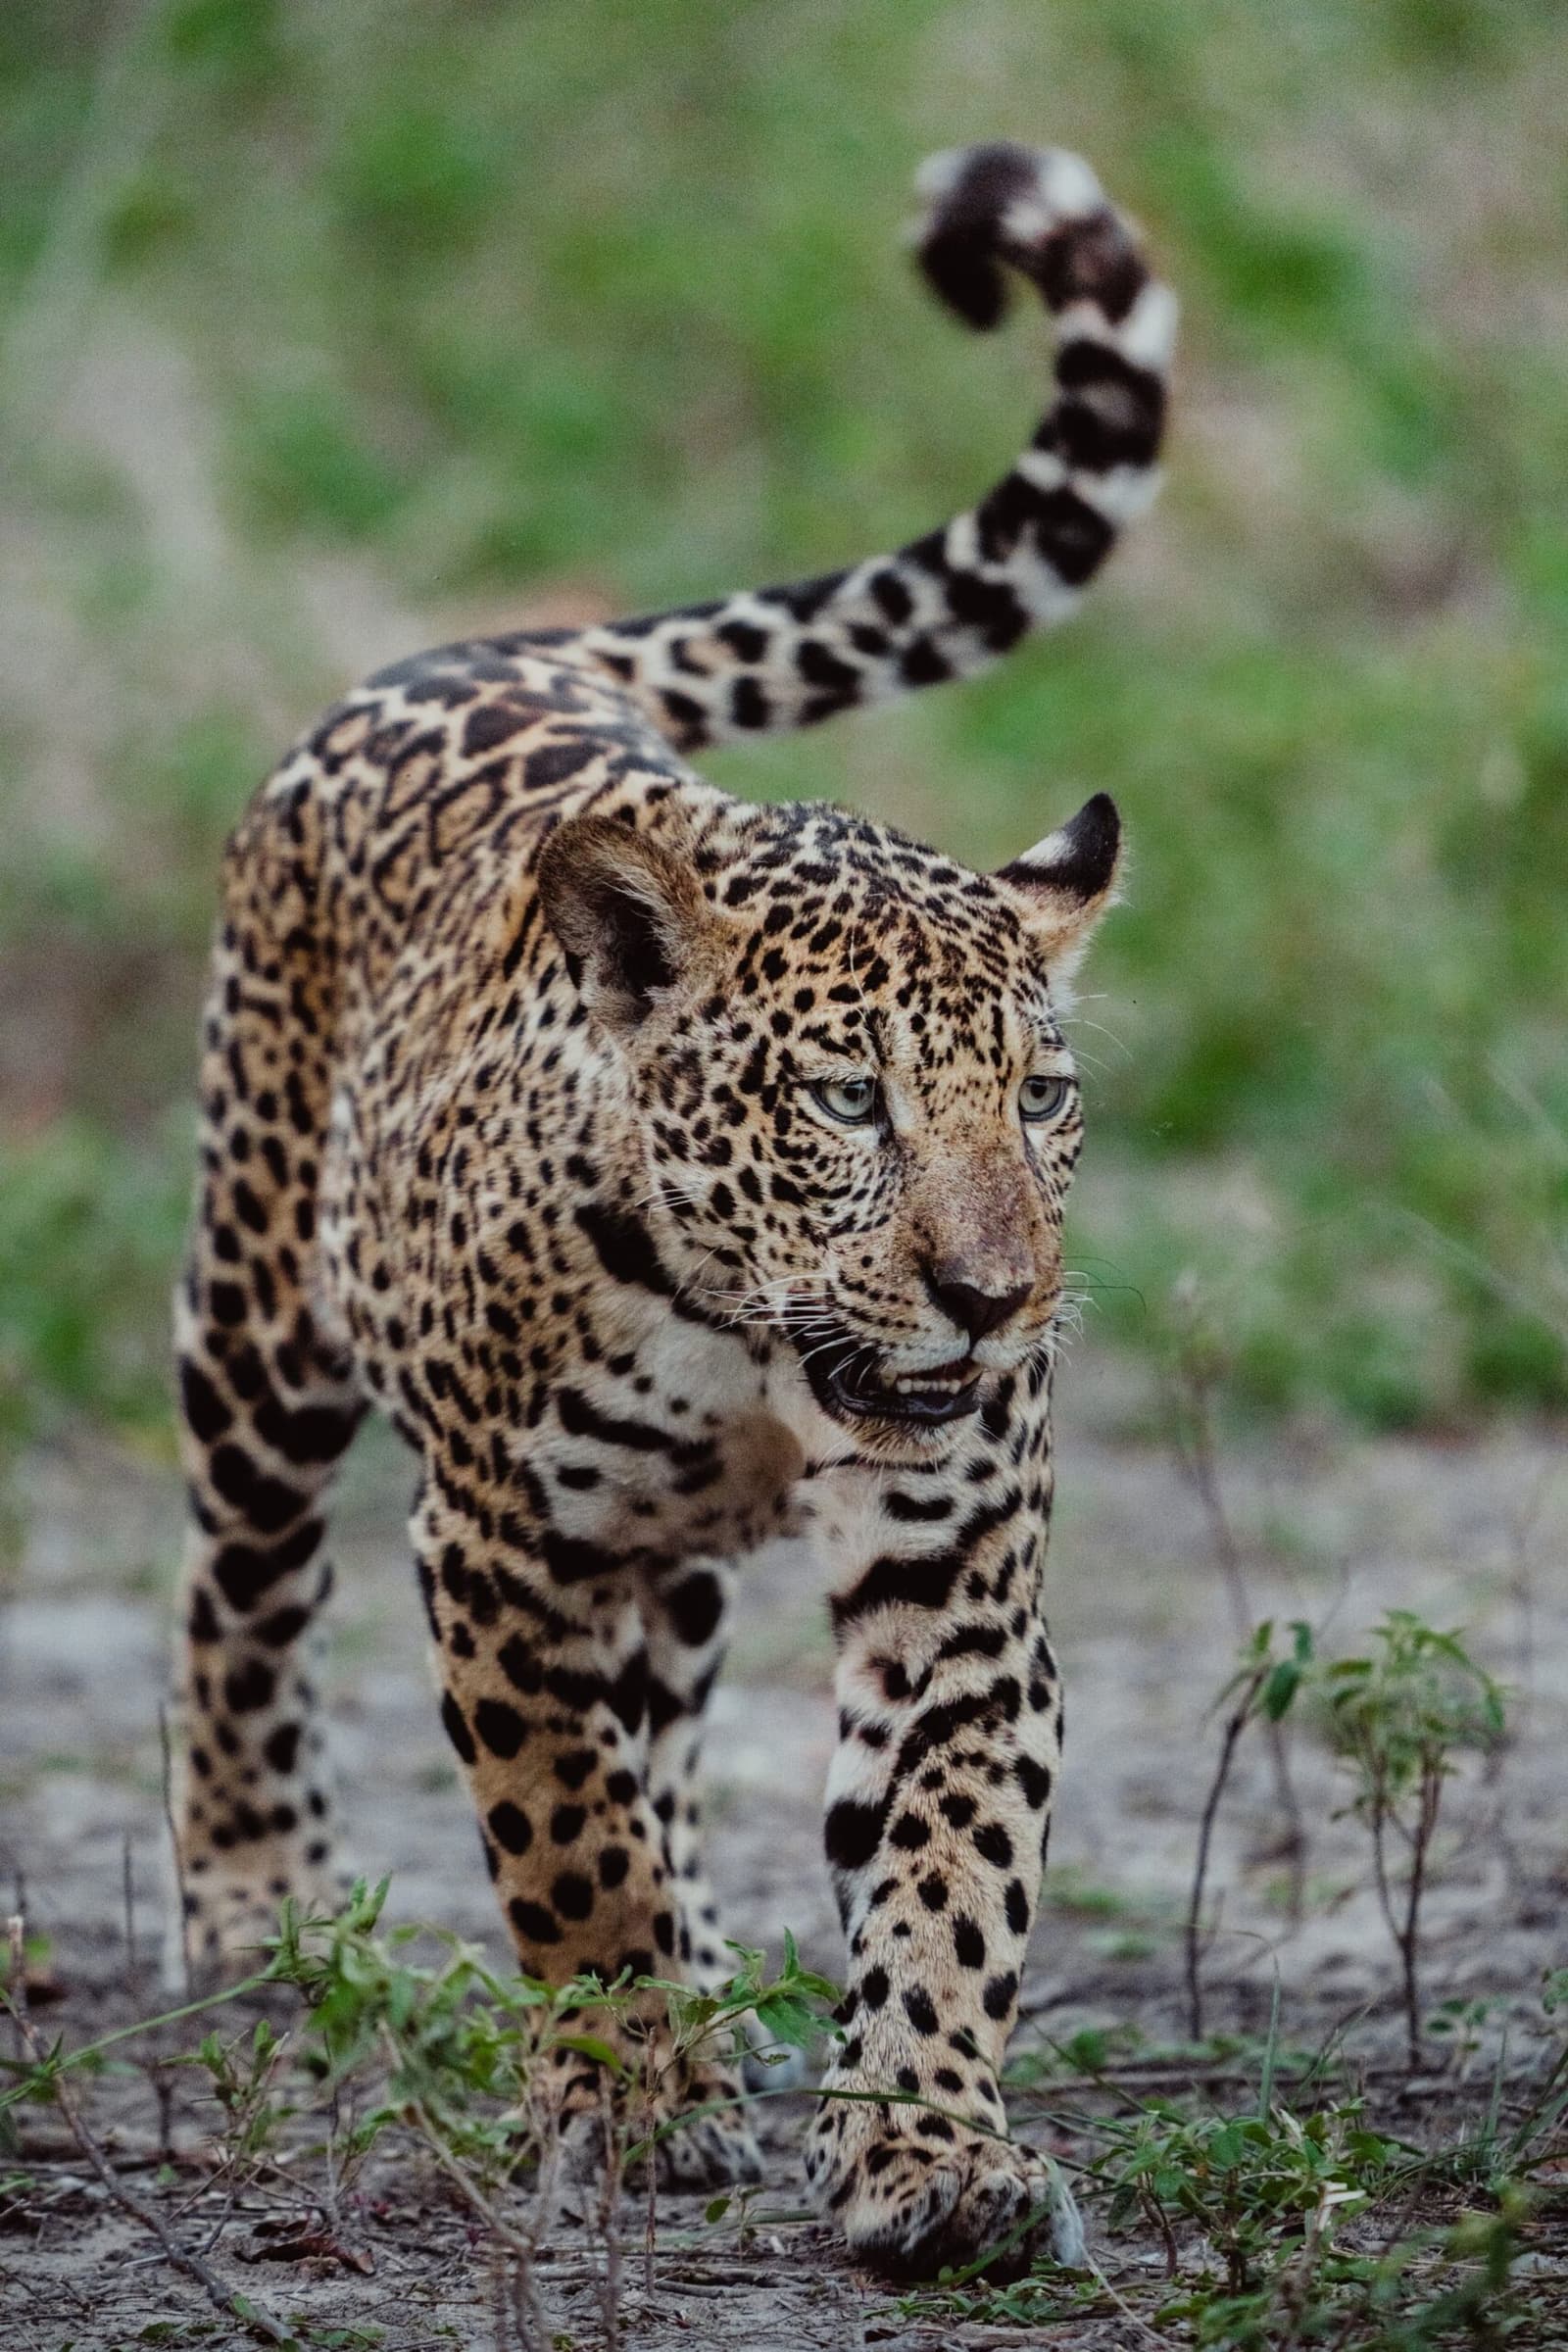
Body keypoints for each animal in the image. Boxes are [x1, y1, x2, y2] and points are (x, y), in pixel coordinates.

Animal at [169, 140, 1174, 2278]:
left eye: (1038, 1100)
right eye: (846, 1102)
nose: (992, 1300)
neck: (749, 1342)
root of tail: (500, 648)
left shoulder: (956, 1575)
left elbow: (947, 1871)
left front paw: (928, 2153)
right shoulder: (492, 1542)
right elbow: (567, 1834)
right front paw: (632, 2104)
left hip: (666, 1559)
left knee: (672, 1712)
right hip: (257, 1321)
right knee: (240, 1593)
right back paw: (254, 1909)